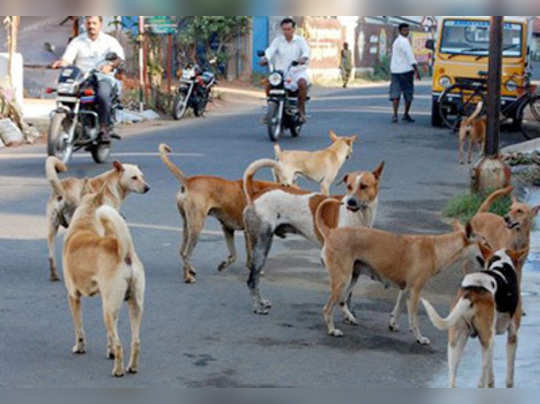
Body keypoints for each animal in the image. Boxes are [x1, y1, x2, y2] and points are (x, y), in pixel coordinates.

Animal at [62, 188, 146, 378]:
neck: (84, 223)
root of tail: (125, 252)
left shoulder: (73, 296)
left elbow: (79, 327)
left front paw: (79, 347)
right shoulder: (107, 301)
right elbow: (110, 335)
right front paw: (110, 352)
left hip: (107, 310)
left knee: (120, 344)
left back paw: (118, 370)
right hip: (132, 306)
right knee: (135, 341)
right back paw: (132, 367)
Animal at [158, 144, 282, 282]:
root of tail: (188, 181)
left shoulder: (228, 229)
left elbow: (234, 255)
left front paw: (224, 265)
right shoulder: (248, 233)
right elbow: (250, 255)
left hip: (187, 226)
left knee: (181, 251)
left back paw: (190, 270)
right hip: (196, 227)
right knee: (186, 253)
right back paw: (188, 277)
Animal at [243, 158, 382, 316]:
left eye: (364, 186)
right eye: (349, 186)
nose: (350, 202)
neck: (359, 216)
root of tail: (255, 195)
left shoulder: (354, 262)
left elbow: (349, 293)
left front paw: (349, 313)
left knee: (255, 278)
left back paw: (261, 302)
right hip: (262, 245)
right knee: (252, 280)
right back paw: (257, 307)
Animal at [312, 199, 476, 344]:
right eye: (481, 243)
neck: (436, 248)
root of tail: (331, 233)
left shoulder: (405, 290)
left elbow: (397, 308)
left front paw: (393, 324)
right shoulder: (415, 292)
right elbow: (414, 319)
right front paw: (419, 338)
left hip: (352, 278)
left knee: (341, 301)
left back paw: (350, 318)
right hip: (343, 280)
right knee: (327, 308)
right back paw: (332, 330)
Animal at [422, 243, 528, 388]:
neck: (502, 264)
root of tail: (471, 292)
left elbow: (491, 374)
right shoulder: (512, 336)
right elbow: (509, 374)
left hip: (456, 343)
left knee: (453, 377)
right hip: (486, 340)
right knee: (481, 379)